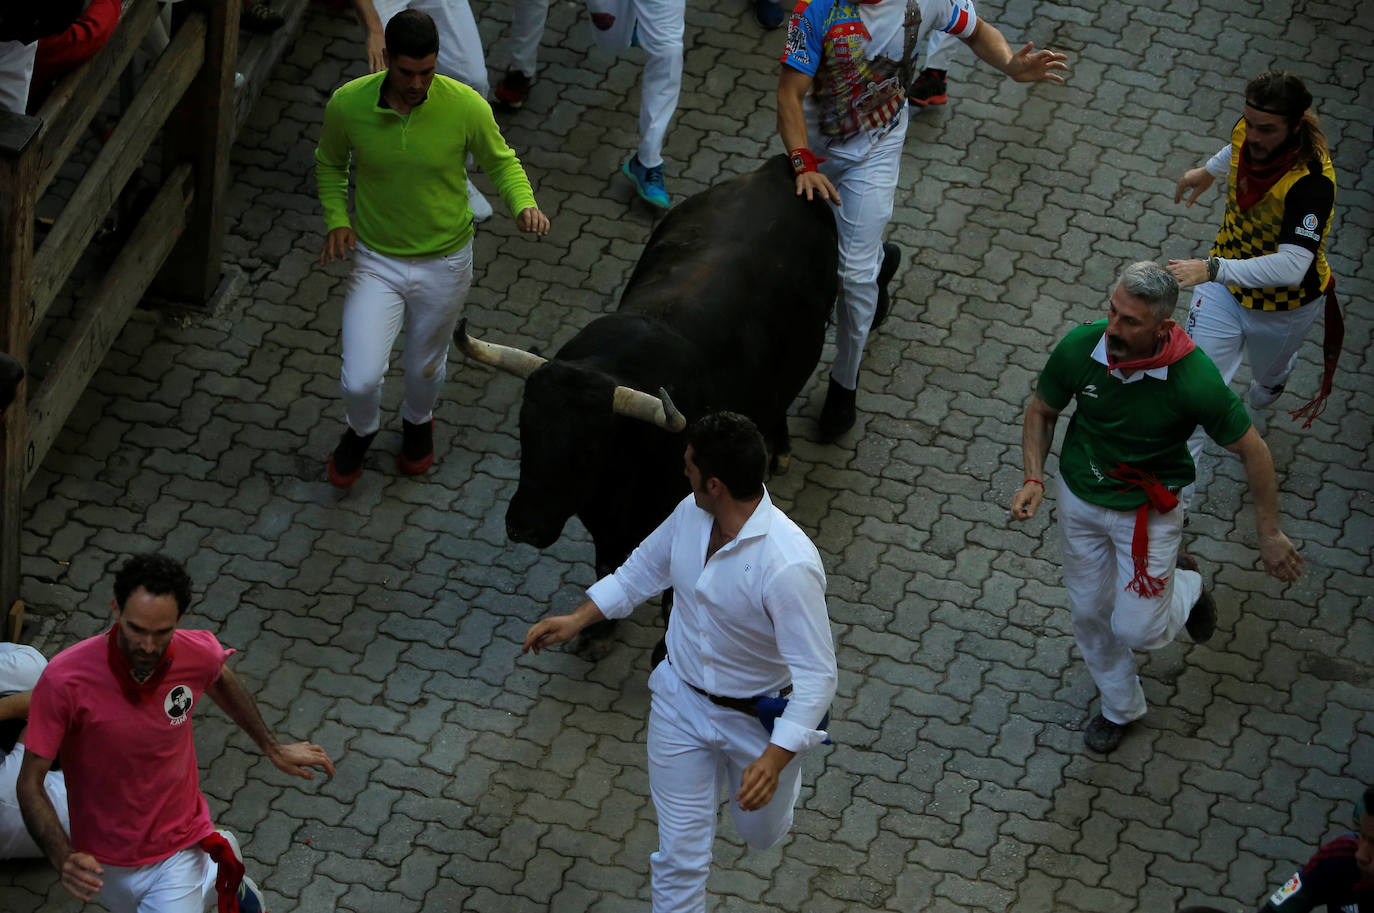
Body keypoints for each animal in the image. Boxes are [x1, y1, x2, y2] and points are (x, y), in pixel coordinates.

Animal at [456, 158, 835, 649]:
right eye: (525, 432)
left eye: (588, 449)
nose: (524, 525)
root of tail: (776, 170)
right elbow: (608, 565)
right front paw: (597, 629)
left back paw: (781, 448)